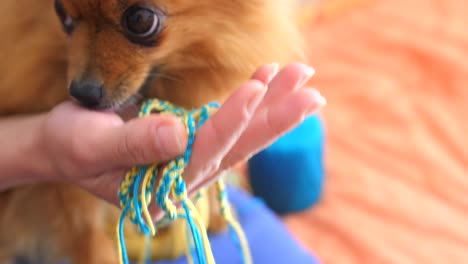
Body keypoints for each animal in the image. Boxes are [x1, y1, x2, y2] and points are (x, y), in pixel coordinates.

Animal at [0, 0, 306, 262]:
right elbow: (85, 233)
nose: (82, 92)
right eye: (61, 12)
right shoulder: (62, 193)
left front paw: (218, 213)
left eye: (140, 20)